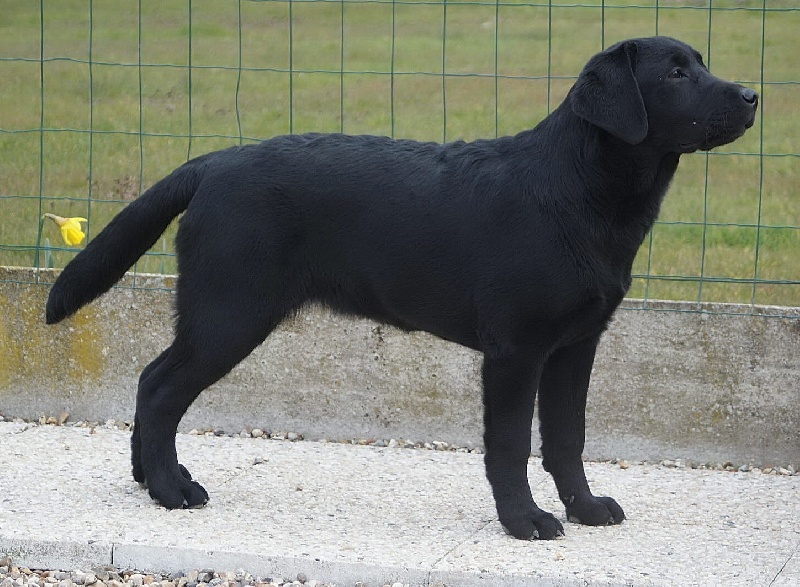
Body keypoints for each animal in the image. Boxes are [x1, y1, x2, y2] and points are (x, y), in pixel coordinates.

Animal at [47, 38, 760, 544]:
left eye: (700, 63)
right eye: (674, 74)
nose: (753, 94)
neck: (580, 189)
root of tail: (212, 163)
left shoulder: (575, 347)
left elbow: (566, 439)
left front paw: (585, 508)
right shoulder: (515, 351)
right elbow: (510, 445)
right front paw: (523, 522)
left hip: (219, 314)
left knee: (150, 379)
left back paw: (148, 479)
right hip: (229, 311)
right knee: (162, 388)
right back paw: (171, 490)